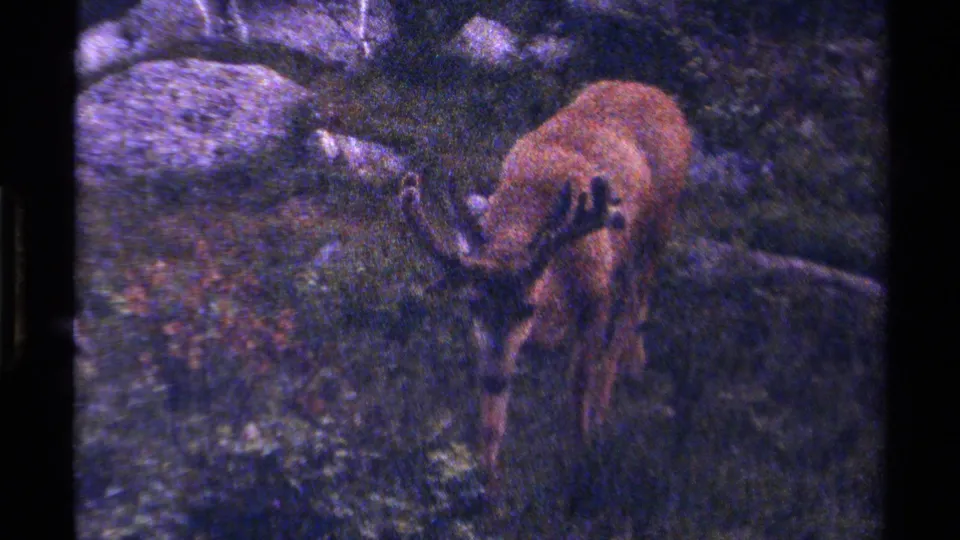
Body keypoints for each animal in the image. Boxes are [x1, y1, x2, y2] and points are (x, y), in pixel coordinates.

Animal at [398, 80, 692, 496]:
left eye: (527, 308)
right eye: (473, 304)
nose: (494, 377)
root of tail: (660, 94)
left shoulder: (596, 295)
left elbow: (579, 382)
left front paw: (582, 453)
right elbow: (493, 416)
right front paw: (488, 478)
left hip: (657, 228)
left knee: (631, 310)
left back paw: (613, 397)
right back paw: (635, 365)